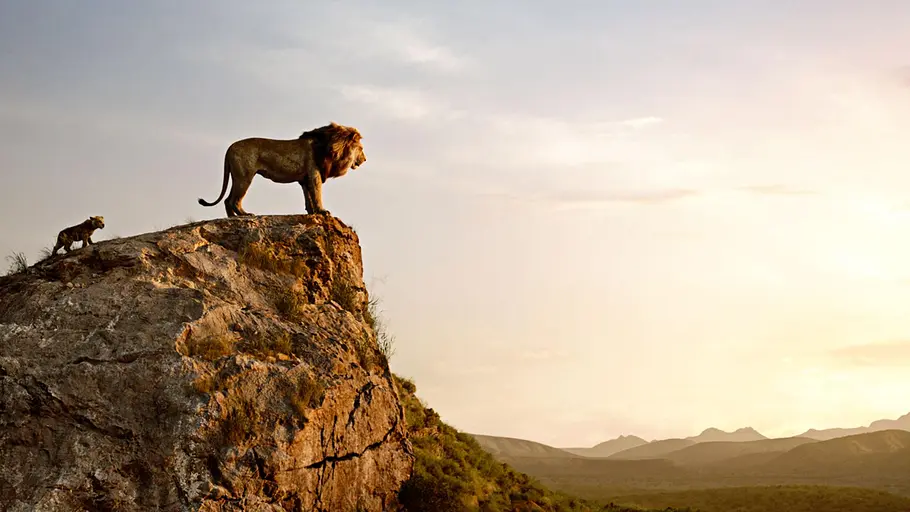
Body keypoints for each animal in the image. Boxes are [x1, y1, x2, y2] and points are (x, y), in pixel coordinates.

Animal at [197, 122, 367, 218]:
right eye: (361, 148)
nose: (365, 159)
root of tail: (230, 148)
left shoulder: (305, 179)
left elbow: (308, 197)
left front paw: (312, 212)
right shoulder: (314, 174)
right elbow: (317, 194)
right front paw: (322, 211)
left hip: (237, 176)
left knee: (227, 200)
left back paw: (232, 218)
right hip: (245, 177)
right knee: (234, 200)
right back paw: (245, 215)